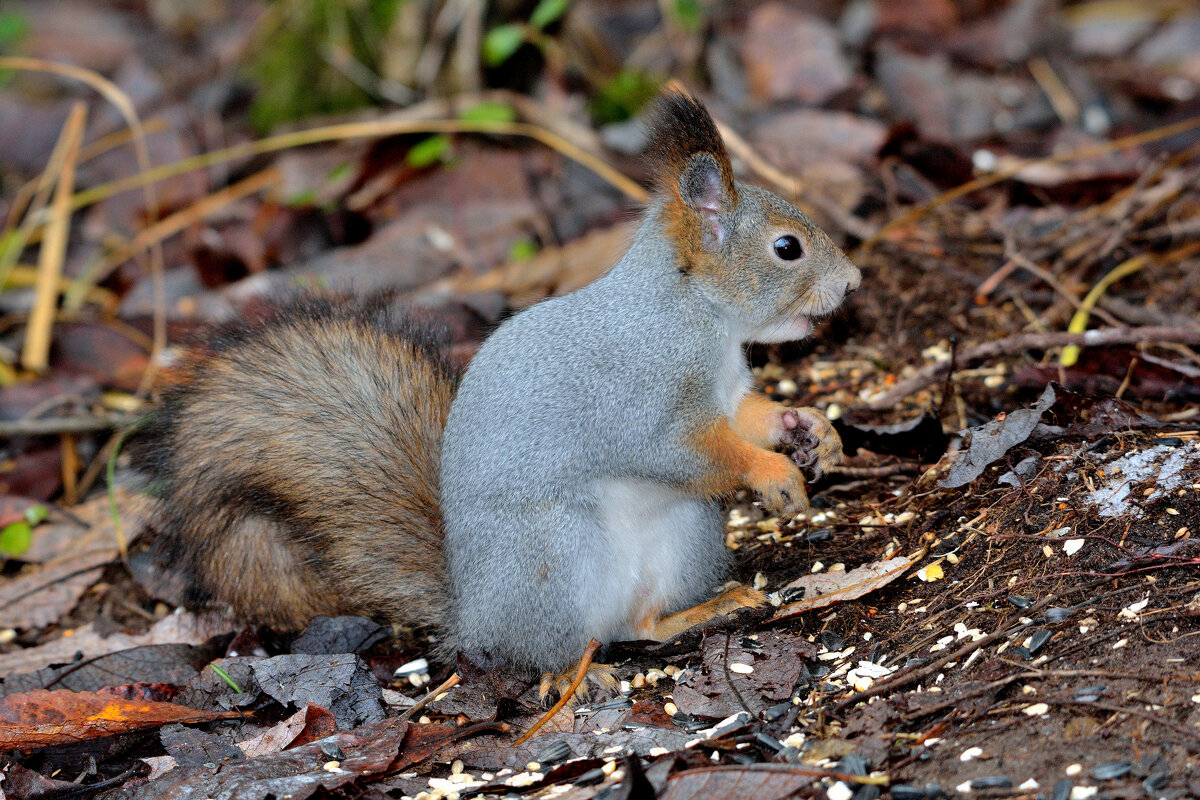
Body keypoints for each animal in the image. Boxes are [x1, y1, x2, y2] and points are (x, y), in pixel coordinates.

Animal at [133, 90, 864, 695]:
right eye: (788, 248)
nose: (854, 281)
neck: (699, 318)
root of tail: (474, 617)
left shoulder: (727, 391)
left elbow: (749, 417)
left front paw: (810, 428)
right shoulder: (639, 396)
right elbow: (683, 451)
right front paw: (771, 471)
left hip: (683, 535)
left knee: (638, 625)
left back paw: (708, 609)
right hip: (559, 554)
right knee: (561, 646)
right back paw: (573, 678)